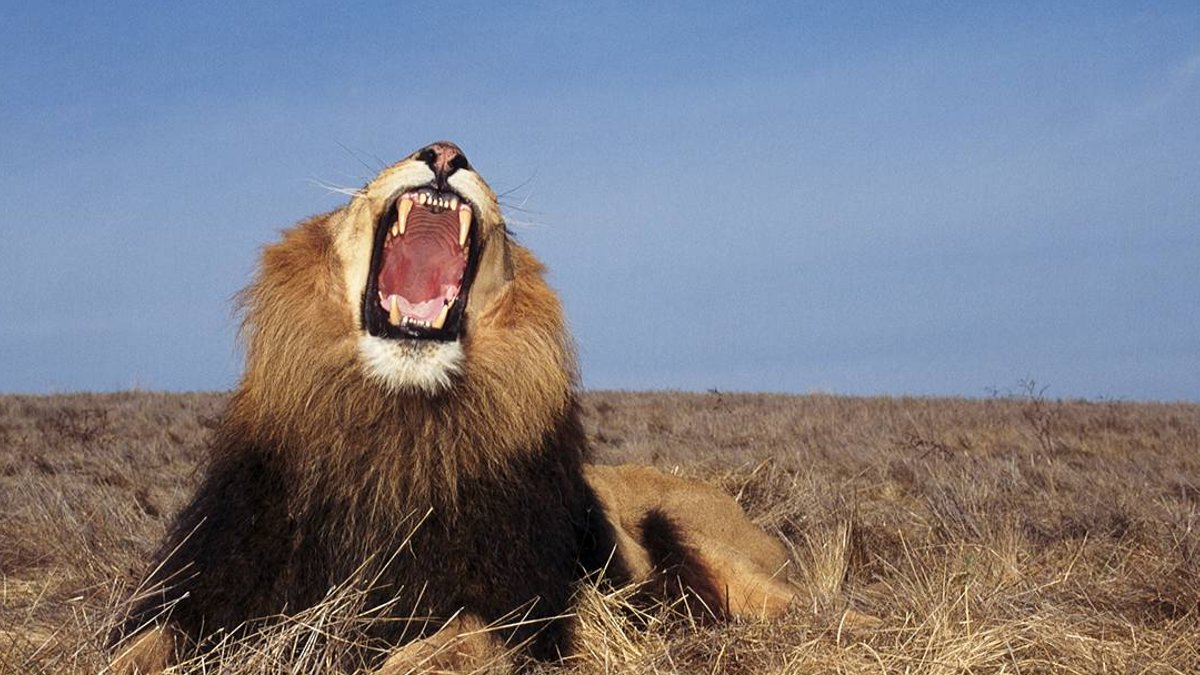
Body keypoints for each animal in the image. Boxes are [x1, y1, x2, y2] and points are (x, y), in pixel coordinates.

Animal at [110, 142, 797, 674]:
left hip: (702, 538)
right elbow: (135, 649)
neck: (394, 429)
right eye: (360, 191)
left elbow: (442, 647)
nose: (444, 152)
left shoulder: (526, 612)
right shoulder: (210, 589)